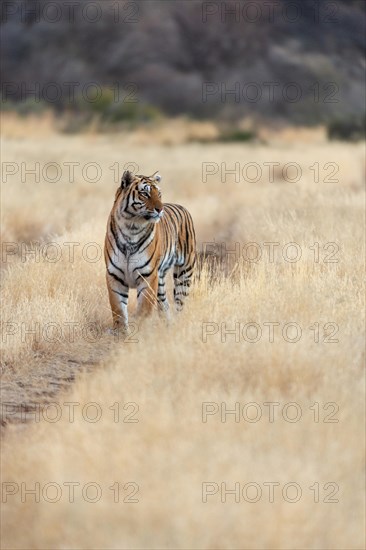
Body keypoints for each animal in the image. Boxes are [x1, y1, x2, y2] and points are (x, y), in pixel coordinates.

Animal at [104, 170, 196, 332]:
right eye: (145, 194)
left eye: (159, 194)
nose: (160, 209)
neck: (131, 227)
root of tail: (182, 207)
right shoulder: (114, 275)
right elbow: (118, 309)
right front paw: (121, 333)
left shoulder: (147, 275)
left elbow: (144, 309)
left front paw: (140, 329)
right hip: (160, 280)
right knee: (164, 304)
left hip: (184, 272)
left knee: (179, 303)